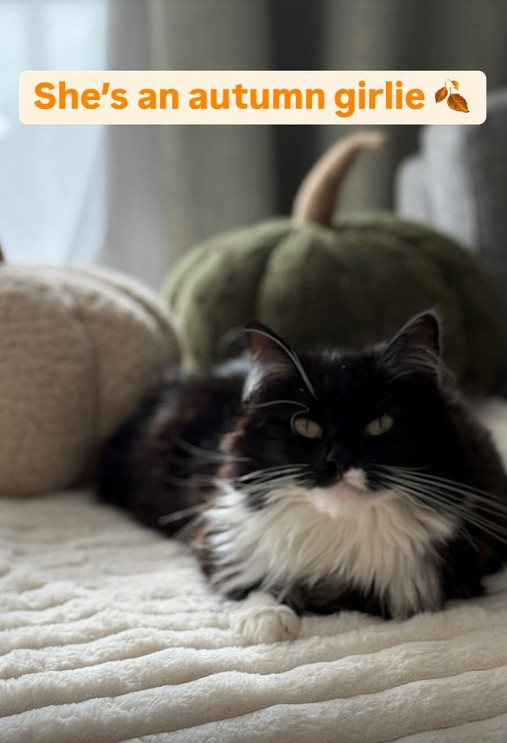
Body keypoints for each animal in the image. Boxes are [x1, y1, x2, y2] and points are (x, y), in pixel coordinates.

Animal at [98, 314, 507, 644]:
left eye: (380, 424)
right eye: (306, 426)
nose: (339, 460)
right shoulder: (214, 534)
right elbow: (249, 583)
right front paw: (269, 621)